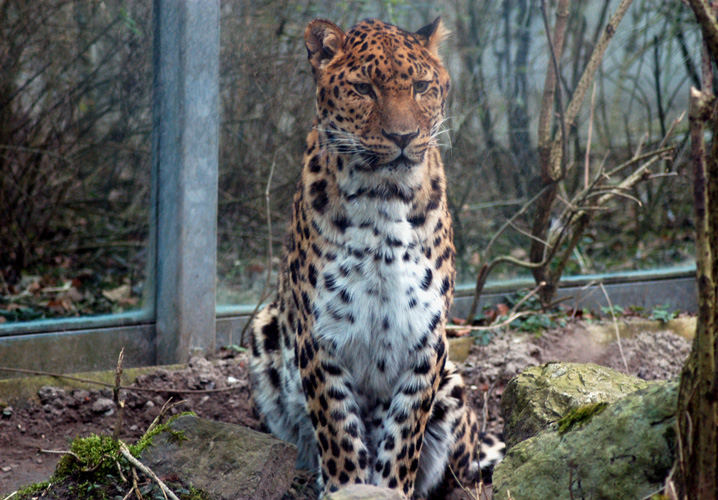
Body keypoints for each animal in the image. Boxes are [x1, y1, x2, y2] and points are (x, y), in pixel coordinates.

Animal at [250, 17, 504, 498]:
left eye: (422, 87)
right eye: (363, 88)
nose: (402, 137)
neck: (383, 198)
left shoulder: (425, 338)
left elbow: (403, 434)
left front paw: (388, 487)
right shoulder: (320, 336)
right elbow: (338, 432)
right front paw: (348, 486)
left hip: (454, 385)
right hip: (265, 326)